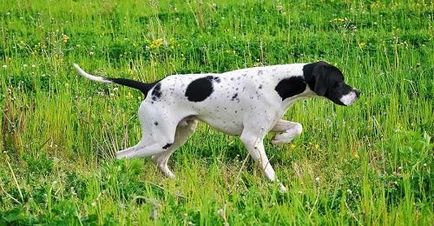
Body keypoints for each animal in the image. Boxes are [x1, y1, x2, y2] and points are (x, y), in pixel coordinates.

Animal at [73, 61, 360, 191]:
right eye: (339, 82)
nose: (357, 93)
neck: (280, 83)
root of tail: (150, 86)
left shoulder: (272, 123)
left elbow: (297, 126)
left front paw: (281, 140)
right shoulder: (251, 138)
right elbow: (269, 170)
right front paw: (281, 189)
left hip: (180, 133)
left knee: (159, 161)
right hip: (159, 138)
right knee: (121, 155)